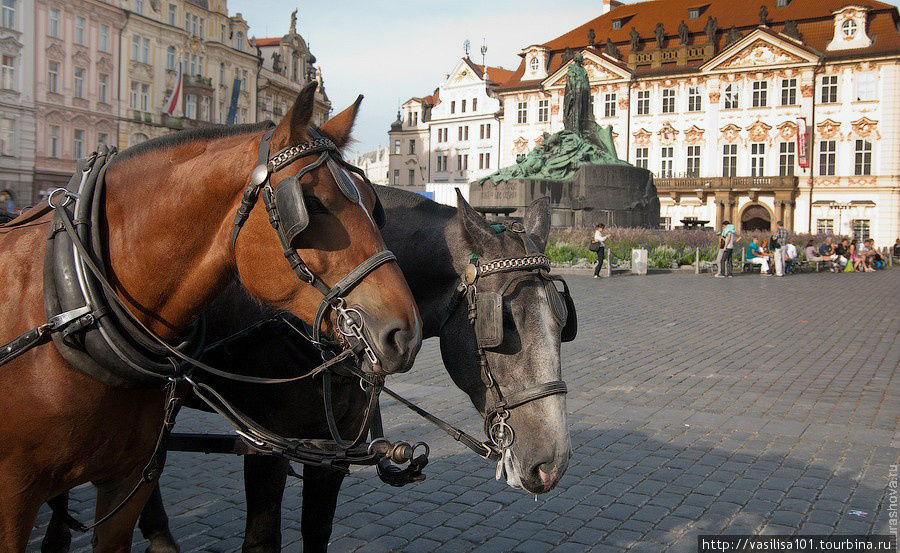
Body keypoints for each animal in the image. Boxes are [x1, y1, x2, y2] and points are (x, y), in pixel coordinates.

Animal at [0, 83, 422, 552]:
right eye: (311, 203)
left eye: (374, 206)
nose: (404, 332)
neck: (74, 315)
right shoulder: (13, 499)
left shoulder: (128, 481)